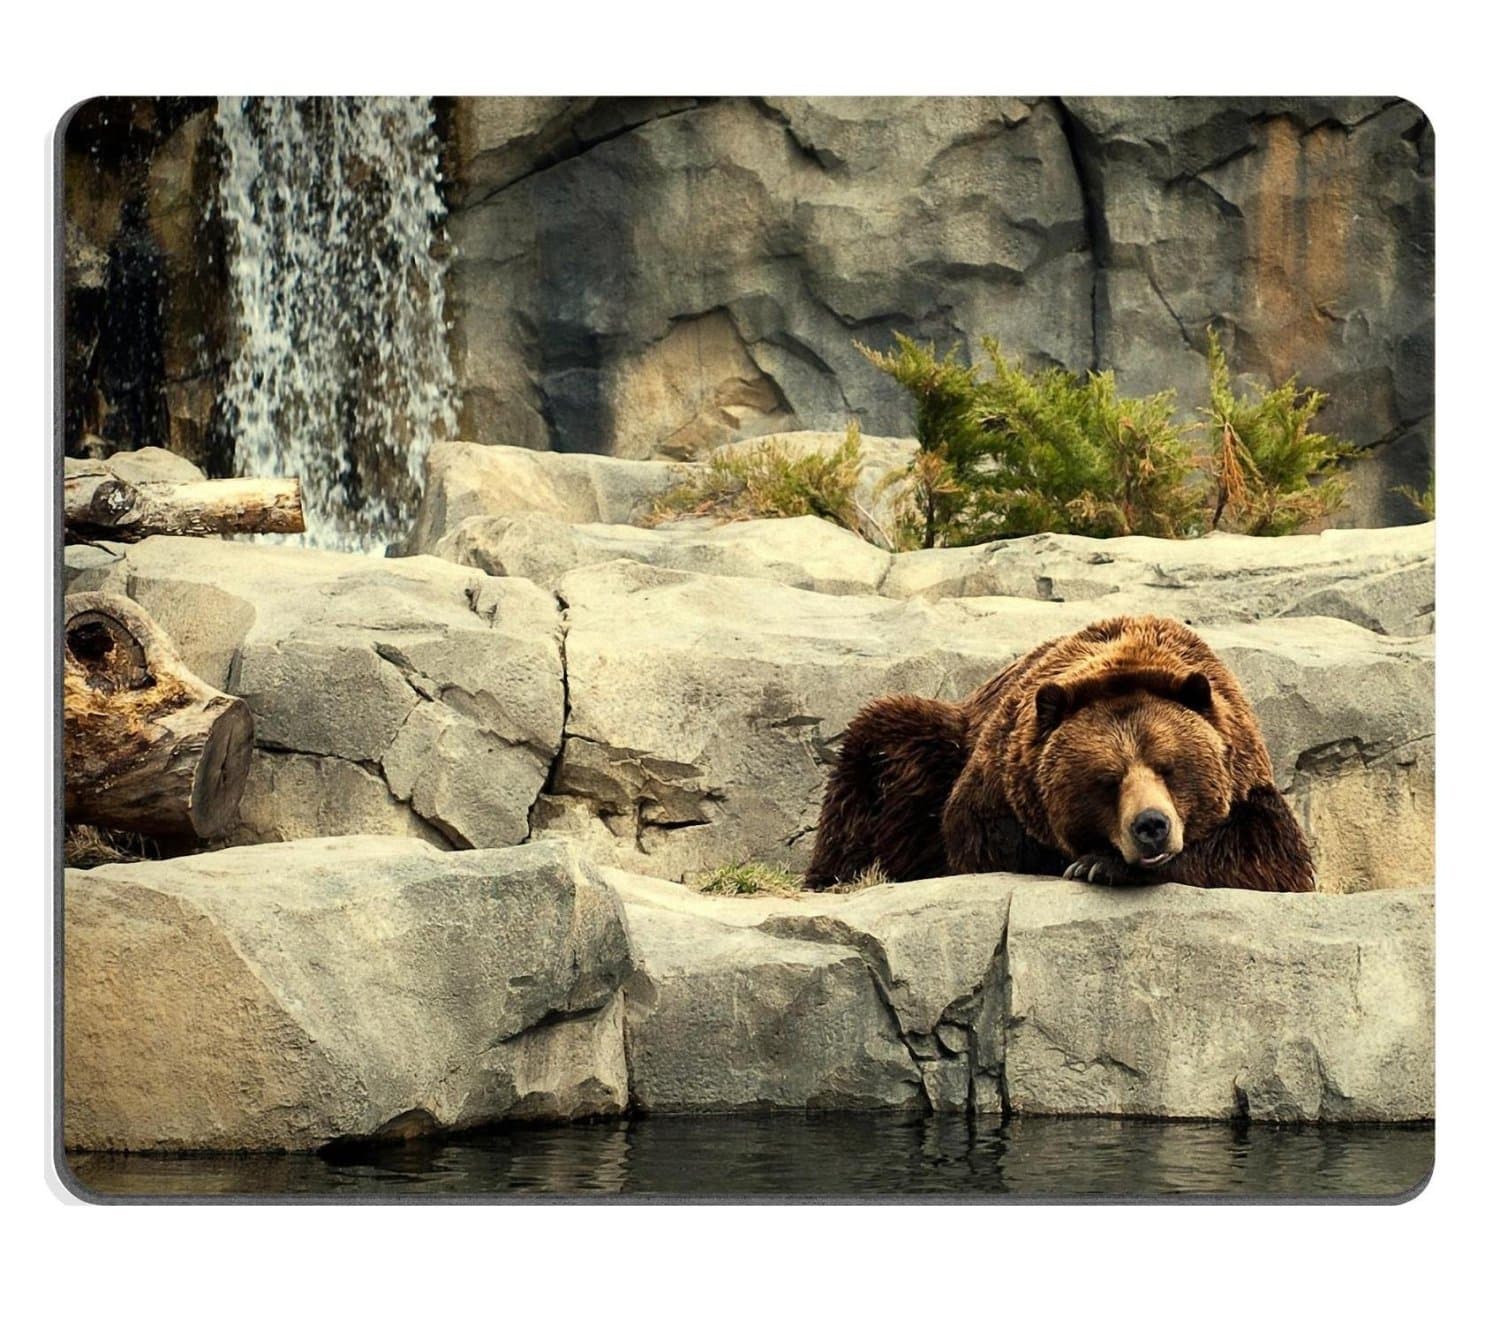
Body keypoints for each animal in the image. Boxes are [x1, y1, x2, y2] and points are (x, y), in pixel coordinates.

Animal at [803, 615, 1314, 893]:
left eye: (1169, 768)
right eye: (1107, 779)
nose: (1151, 826)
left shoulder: (1246, 780)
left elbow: (1267, 856)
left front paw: (1100, 864)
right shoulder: (999, 785)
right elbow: (981, 842)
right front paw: (1092, 861)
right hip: (934, 744)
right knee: (880, 751)